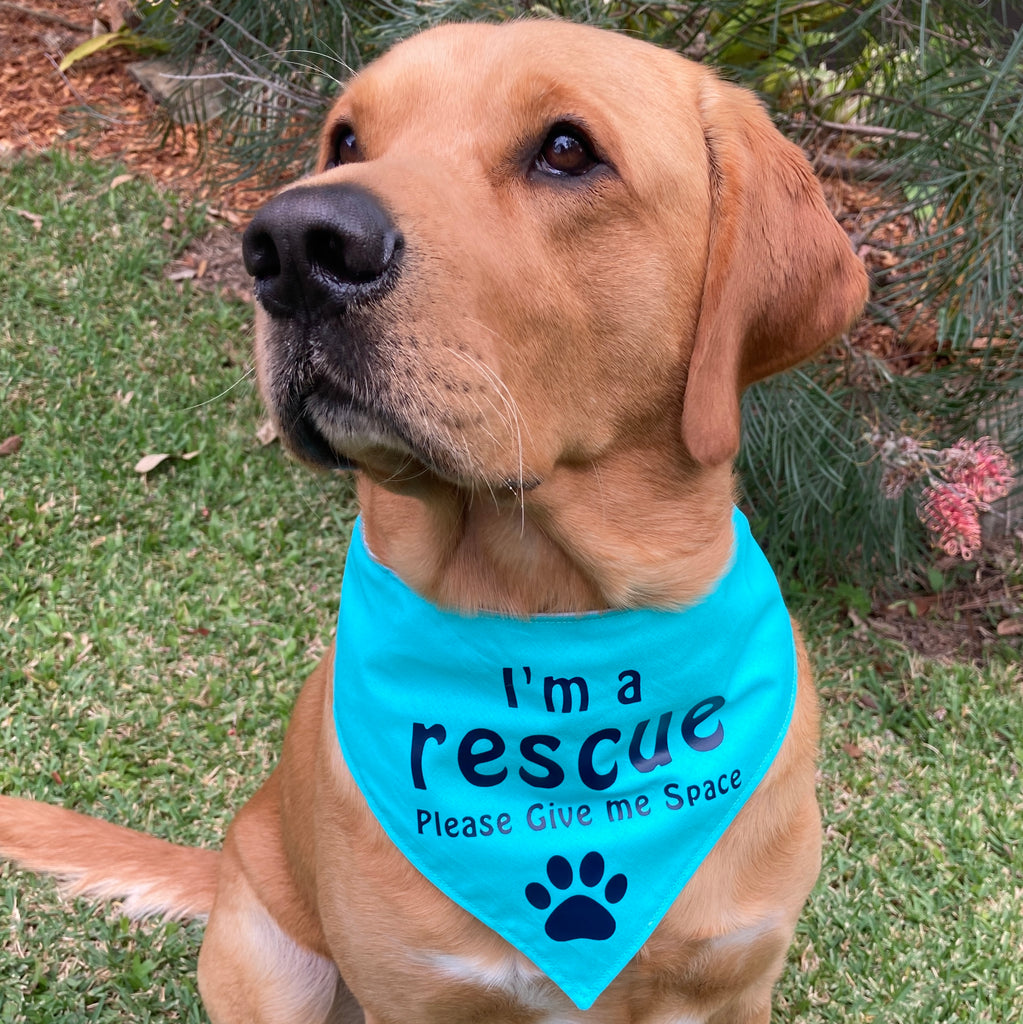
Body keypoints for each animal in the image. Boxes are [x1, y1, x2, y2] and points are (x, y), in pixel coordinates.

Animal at [0, 18, 868, 1024]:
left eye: (566, 149)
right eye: (345, 140)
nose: (290, 243)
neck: (550, 616)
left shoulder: (730, 984)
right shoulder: (418, 991)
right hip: (273, 958)